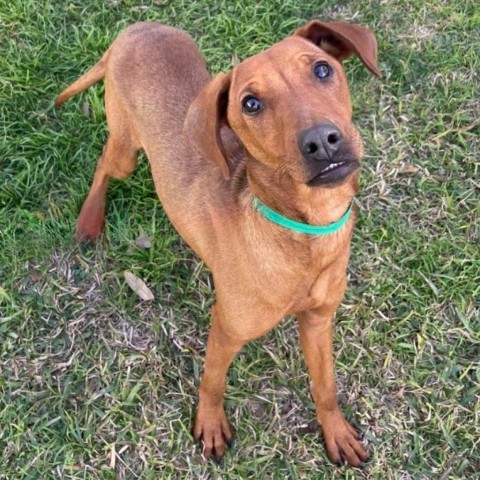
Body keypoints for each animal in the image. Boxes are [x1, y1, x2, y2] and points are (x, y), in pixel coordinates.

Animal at [55, 20, 378, 466]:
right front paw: (209, 423)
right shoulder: (226, 328)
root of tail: (136, 27)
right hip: (125, 151)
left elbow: (325, 386)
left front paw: (335, 431)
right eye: (251, 104)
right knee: (106, 161)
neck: (305, 231)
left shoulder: (318, 321)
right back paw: (90, 219)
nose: (321, 141)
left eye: (322, 69)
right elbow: (213, 379)